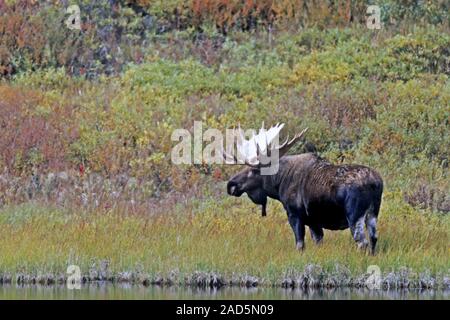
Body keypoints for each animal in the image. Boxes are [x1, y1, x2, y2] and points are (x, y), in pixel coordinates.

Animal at [225, 123, 384, 255]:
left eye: (253, 170)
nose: (231, 185)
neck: (278, 184)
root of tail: (375, 183)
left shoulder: (294, 214)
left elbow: (300, 244)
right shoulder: (313, 221)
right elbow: (318, 241)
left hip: (354, 215)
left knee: (362, 242)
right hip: (373, 213)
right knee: (374, 238)